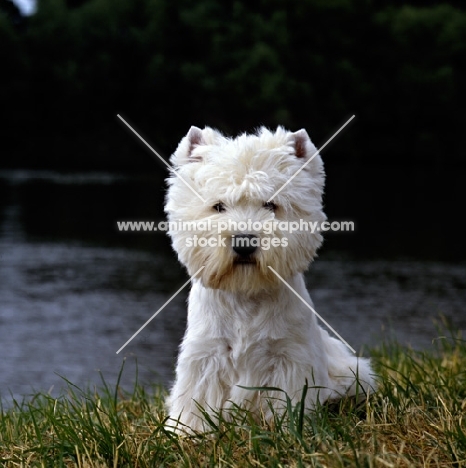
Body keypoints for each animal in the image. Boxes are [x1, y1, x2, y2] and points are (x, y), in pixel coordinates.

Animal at [164, 125, 374, 432]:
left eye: (271, 205)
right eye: (218, 206)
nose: (244, 242)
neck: (246, 294)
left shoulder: (290, 357)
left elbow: (288, 401)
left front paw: (289, 430)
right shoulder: (206, 355)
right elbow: (195, 401)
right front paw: (187, 431)